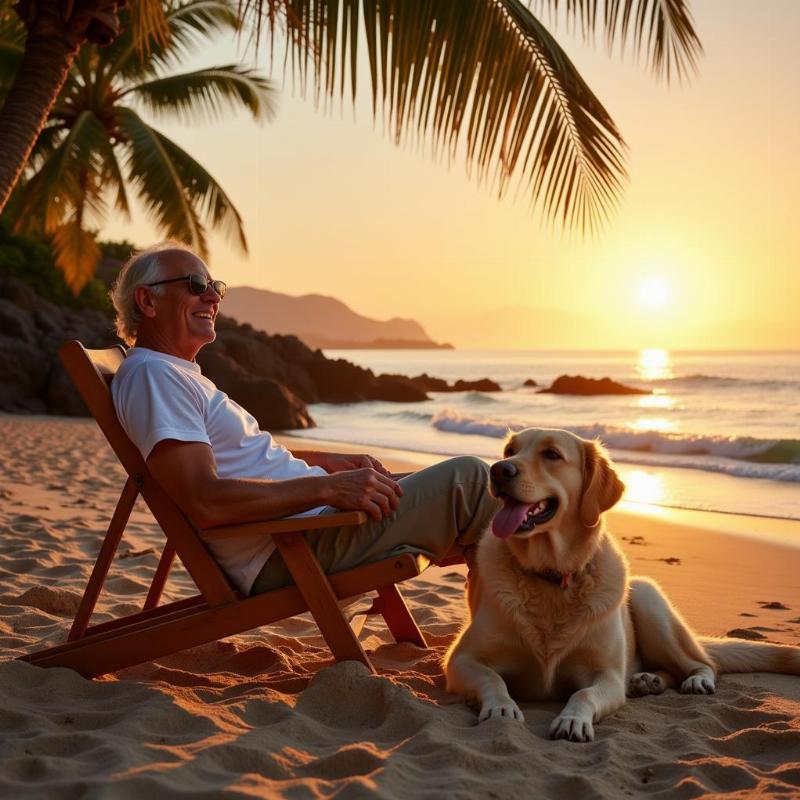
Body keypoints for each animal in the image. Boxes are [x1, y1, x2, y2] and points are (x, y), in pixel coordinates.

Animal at [444, 428, 800, 740]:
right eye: (509, 451)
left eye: (551, 454)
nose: (498, 470)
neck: (553, 574)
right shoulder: (460, 660)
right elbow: (493, 679)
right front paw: (501, 708)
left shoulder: (608, 676)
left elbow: (584, 695)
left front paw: (573, 720)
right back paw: (647, 680)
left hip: (647, 599)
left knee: (702, 663)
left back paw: (688, 680)